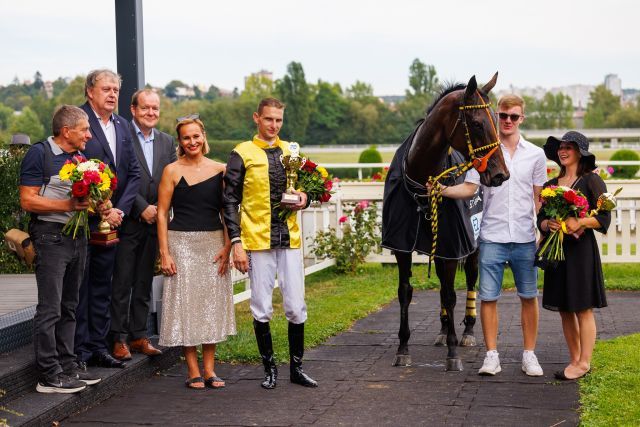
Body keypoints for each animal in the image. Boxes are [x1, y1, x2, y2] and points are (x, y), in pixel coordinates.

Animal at [380, 73, 510, 372]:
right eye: (477, 123)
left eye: (496, 120)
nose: (501, 174)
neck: (422, 189)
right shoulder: (402, 247)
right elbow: (405, 291)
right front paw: (403, 348)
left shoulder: (453, 245)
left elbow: (451, 294)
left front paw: (453, 352)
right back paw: (441, 329)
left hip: (473, 243)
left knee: (471, 278)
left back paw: (468, 331)